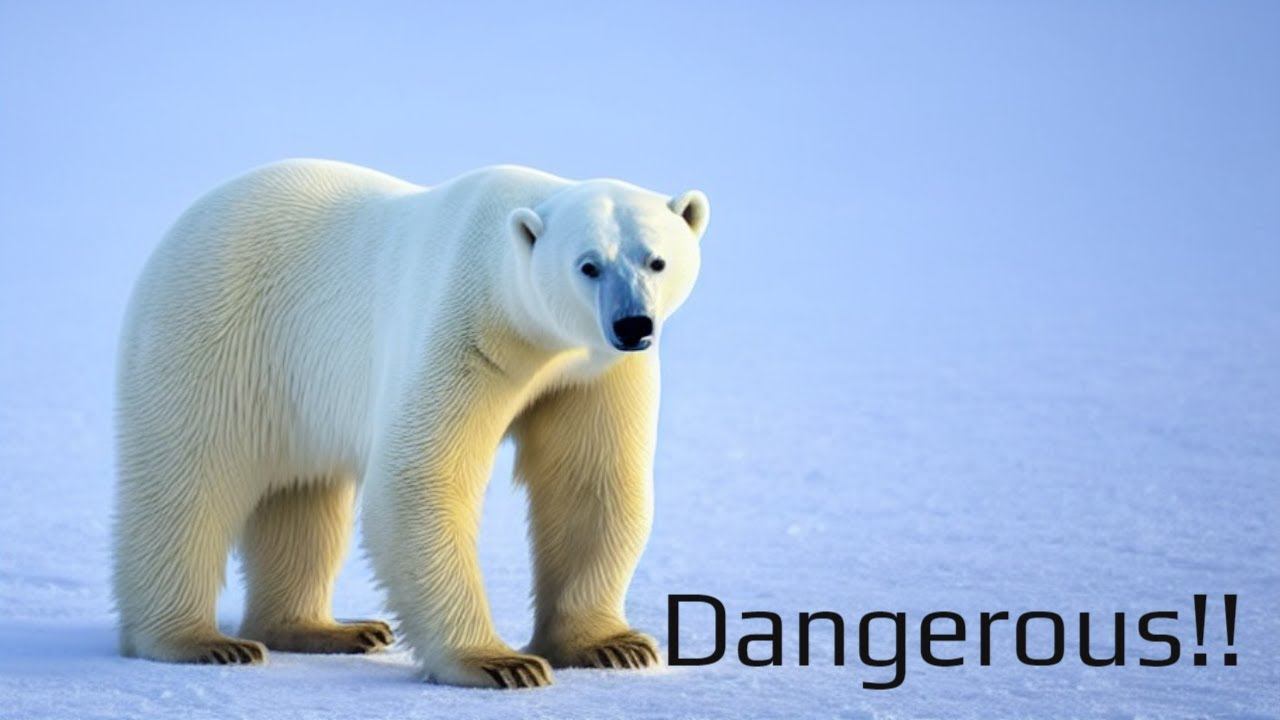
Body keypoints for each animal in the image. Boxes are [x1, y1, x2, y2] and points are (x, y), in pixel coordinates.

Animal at [112, 159, 709, 688]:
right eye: (588, 265)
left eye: (656, 261)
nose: (633, 324)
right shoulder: (466, 325)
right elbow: (420, 476)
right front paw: (500, 663)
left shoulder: (592, 371)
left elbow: (590, 482)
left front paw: (613, 646)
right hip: (217, 331)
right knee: (188, 483)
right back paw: (199, 641)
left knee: (303, 494)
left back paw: (328, 629)